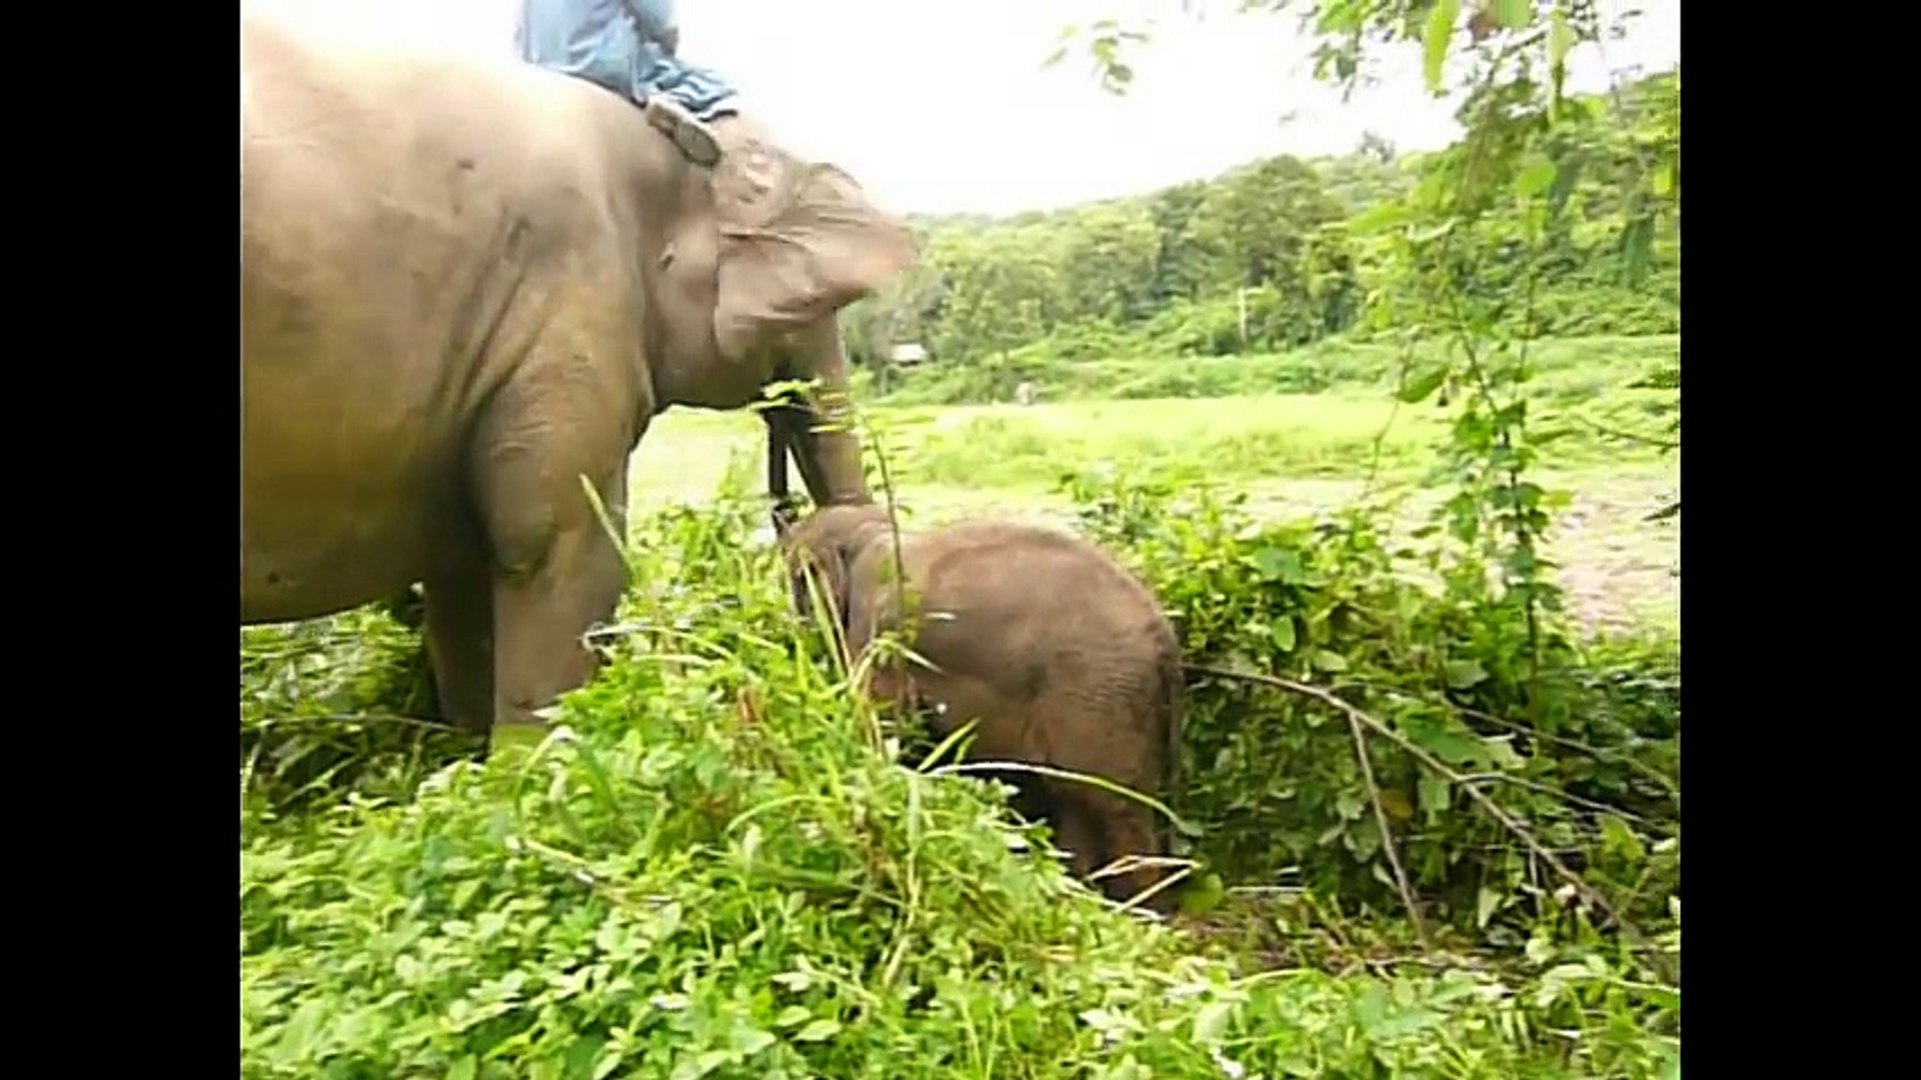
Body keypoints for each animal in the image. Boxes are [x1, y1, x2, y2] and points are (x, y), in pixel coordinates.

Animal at [240, 12, 916, 749]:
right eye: (807, 309)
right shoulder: (567, 306)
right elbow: (559, 546)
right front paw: (534, 760)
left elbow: (465, 563)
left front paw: (465, 757)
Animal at [781, 504, 1186, 910]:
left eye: (797, 577)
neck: (869, 532)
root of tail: (1164, 642)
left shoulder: (881, 642)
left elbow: (880, 728)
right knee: (1076, 801)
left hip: (1096, 696)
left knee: (1113, 806)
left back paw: (1140, 912)